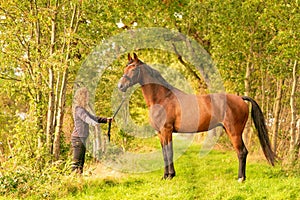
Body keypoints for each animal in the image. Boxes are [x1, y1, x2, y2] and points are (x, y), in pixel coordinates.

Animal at [116, 52, 274, 181]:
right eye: (125, 68)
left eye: (133, 69)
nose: (120, 86)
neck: (163, 98)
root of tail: (240, 98)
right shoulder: (160, 133)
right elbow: (164, 154)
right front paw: (165, 175)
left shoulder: (167, 130)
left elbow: (169, 152)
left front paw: (170, 175)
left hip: (234, 131)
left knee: (241, 152)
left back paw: (240, 178)